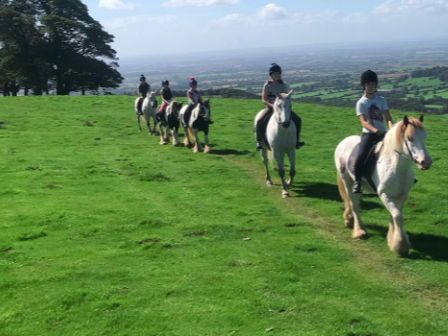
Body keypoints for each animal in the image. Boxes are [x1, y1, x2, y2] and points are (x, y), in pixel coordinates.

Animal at [334, 114, 432, 256]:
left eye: (424, 136)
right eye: (410, 138)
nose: (426, 162)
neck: (395, 167)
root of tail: (343, 141)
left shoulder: (402, 195)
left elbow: (395, 215)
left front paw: (393, 239)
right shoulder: (384, 194)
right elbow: (398, 216)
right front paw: (400, 245)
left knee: (356, 201)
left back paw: (349, 220)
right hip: (347, 182)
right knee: (354, 205)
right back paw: (360, 231)